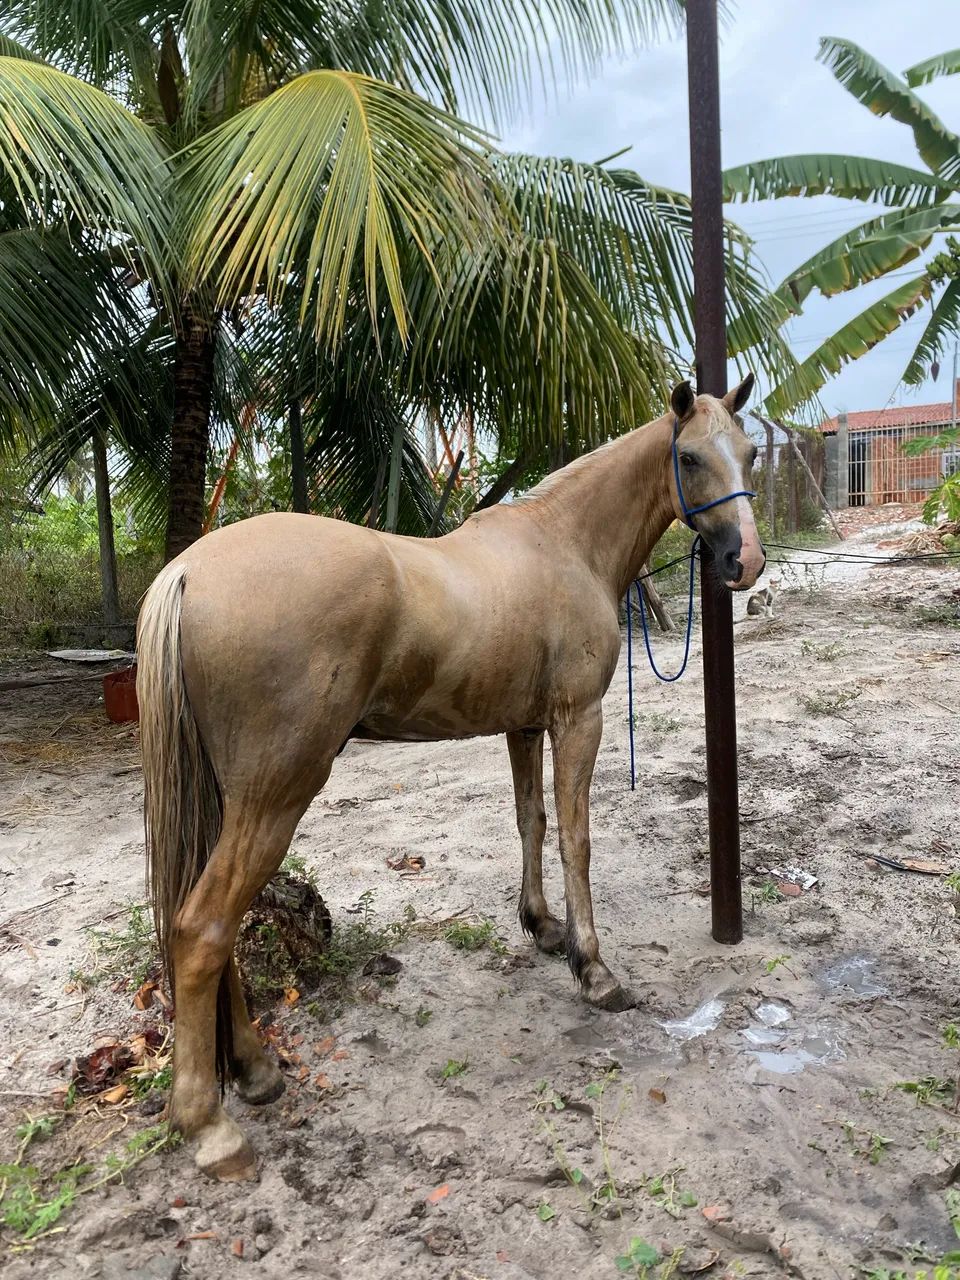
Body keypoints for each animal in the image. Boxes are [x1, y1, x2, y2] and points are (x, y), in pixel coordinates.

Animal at [136, 375, 765, 1180]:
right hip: (272, 799)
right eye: (688, 457)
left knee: (208, 926)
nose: (744, 560)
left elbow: (531, 821)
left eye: (749, 451)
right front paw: (593, 969)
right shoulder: (578, 720)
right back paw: (211, 1125)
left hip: (228, 801)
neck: (563, 544)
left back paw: (253, 1070)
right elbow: (576, 839)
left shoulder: (524, 726)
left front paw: (542, 927)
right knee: (203, 928)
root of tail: (189, 571)